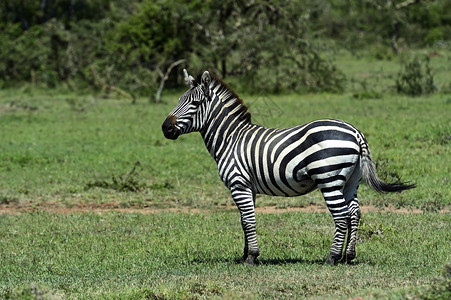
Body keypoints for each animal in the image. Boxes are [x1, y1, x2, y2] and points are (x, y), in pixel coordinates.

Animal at [162, 68, 416, 264]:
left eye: (195, 103)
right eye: (178, 101)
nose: (165, 128)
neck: (230, 139)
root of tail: (355, 132)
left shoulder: (238, 184)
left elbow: (248, 220)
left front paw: (252, 257)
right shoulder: (248, 188)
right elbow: (244, 221)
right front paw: (245, 255)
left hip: (328, 178)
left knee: (341, 215)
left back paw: (333, 257)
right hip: (352, 180)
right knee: (354, 213)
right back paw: (349, 256)